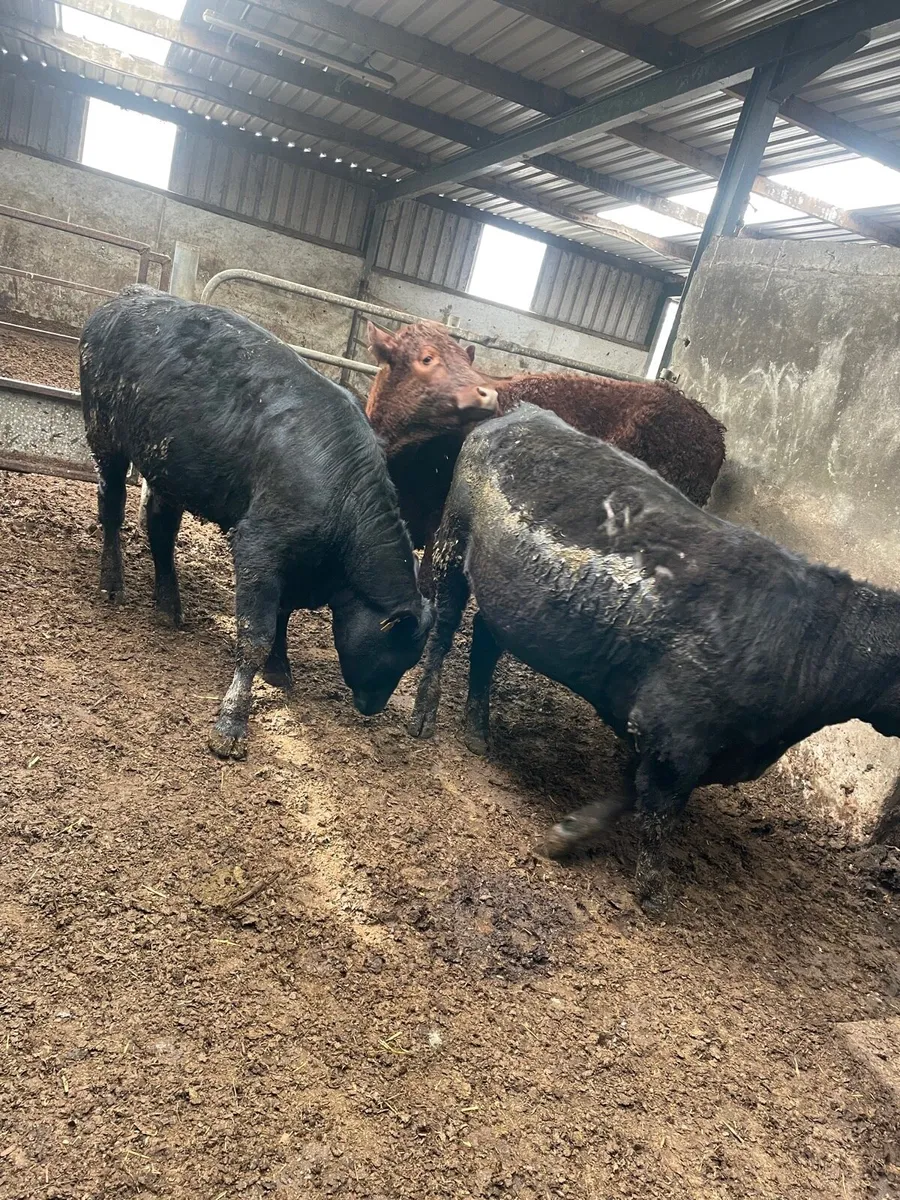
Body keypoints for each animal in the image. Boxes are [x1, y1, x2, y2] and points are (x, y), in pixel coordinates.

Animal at [81, 285, 432, 760]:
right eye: (396, 651)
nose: (373, 706)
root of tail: (130, 296)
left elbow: (281, 616)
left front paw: (279, 669)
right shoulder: (259, 546)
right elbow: (256, 634)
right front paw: (231, 722)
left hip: (169, 472)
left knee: (160, 531)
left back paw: (169, 605)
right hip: (106, 440)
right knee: (112, 508)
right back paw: (112, 581)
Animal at [408, 404, 900, 915]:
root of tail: (523, 413)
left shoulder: (682, 744)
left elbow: (629, 792)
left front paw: (566, 835)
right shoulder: (675, 733)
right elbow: (659, 811)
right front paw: (653, 890)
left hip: (509, 603)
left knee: (485, 641)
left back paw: (477, 731)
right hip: (452, 544)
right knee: (443, 629)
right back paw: (424, 714)